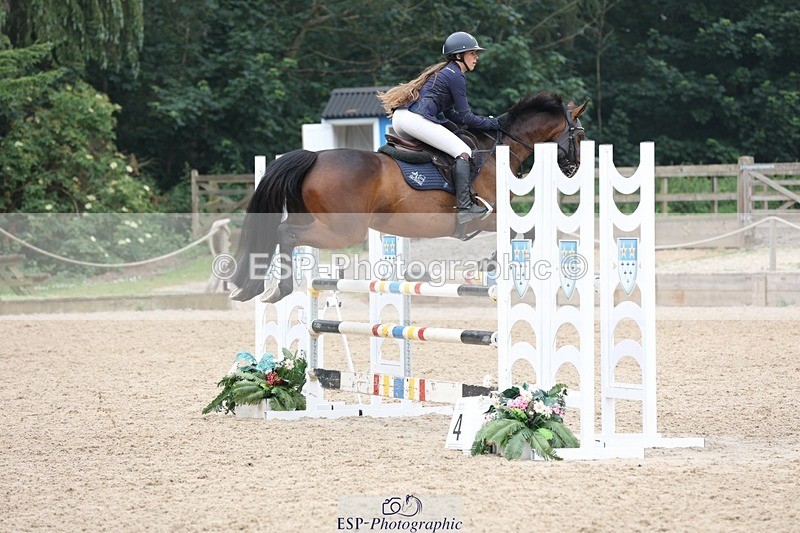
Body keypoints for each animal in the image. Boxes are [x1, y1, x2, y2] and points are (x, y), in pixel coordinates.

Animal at [230, 91, 588, 303]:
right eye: (580, 135)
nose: (573, 169)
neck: (500, 148)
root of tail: (314, 157)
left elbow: (525, 233)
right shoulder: (491, 217)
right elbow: (526, 232)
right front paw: (489, 262)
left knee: (282, 233)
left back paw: (258, 288)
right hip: (344, 230)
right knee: (285, 232)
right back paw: (279, 288)